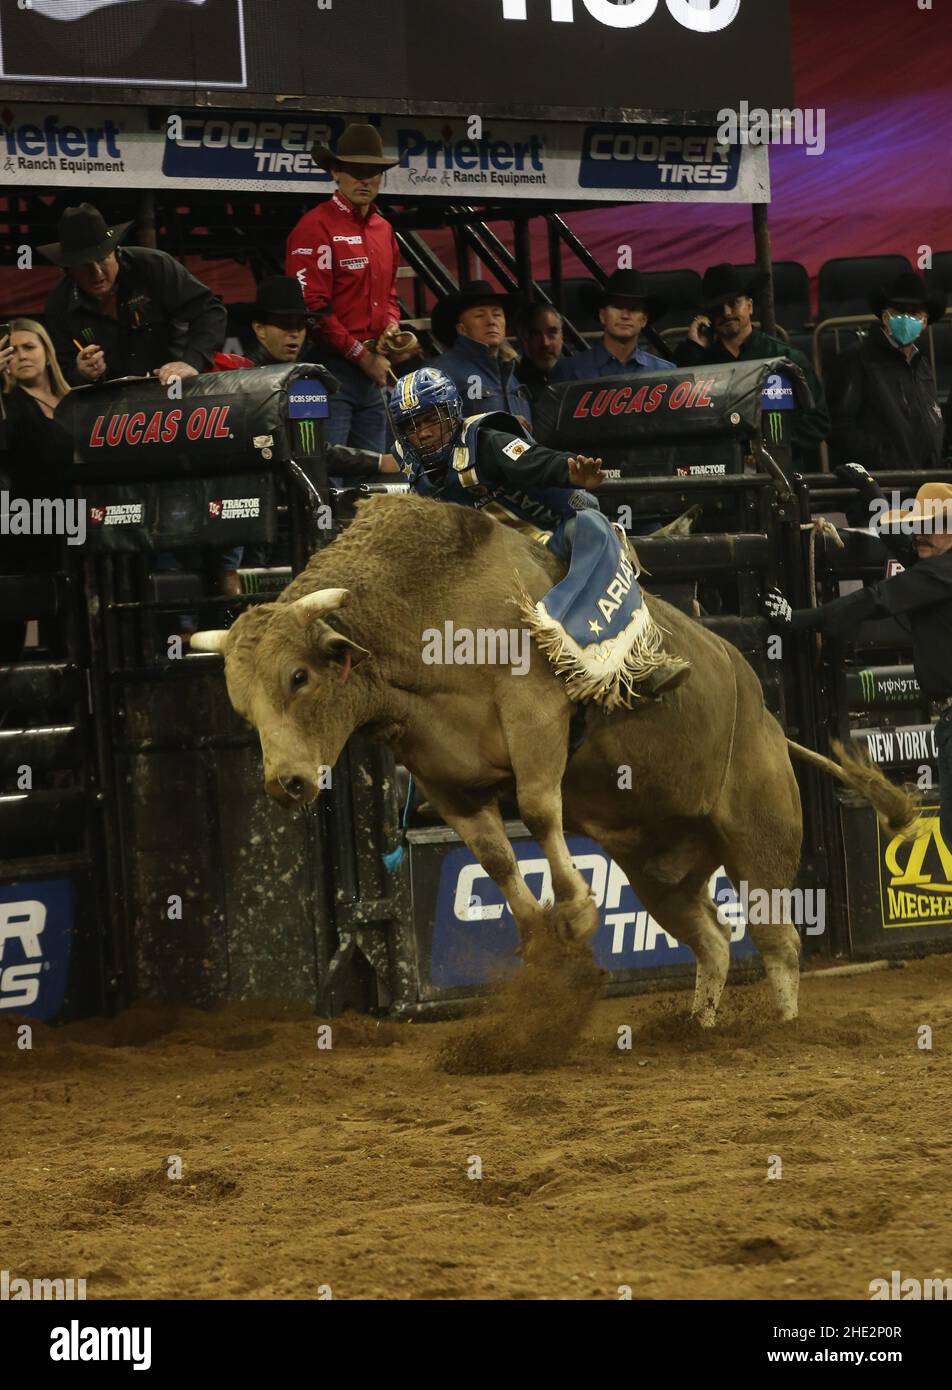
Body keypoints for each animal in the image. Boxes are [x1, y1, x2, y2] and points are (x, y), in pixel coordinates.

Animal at [189, 493, 915, 1027]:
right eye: (242, 706)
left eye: (299, 677)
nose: (285, 783)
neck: (421, 613)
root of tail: (765, 712)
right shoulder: (445, 778)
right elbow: (495, 855)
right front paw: (539, 933)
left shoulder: (535, 712)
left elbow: (539, 809)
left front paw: (575, 911)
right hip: (659, 867)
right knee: (711, 938)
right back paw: (701, 1026)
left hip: (759, 829)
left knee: (776, 937)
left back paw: (783, 1027)